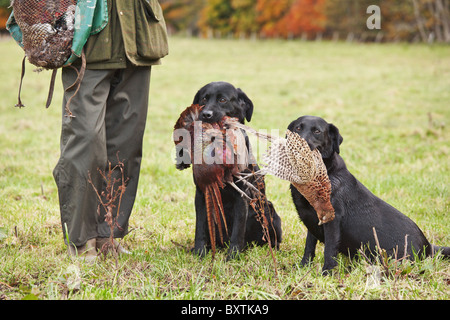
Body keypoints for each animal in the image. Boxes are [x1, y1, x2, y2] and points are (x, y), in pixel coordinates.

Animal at [176, 82, 282, 260]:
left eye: (223, 100)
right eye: (204, 98)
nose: (206, 114)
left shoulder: (242, 197)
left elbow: (238, 229)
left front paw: (233, 255)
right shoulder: (201, 195)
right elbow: (200, 227)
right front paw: (199, 251)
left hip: (270, 212)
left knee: (271, 239)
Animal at [288, 116, 450, 274]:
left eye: (317, 131)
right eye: (298, 128)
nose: (299, 144)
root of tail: (429, 247)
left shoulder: (332, 219)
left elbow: (329, 250)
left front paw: (326, 273)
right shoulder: (312, 219)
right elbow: (309, 246)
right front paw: (303, 268)